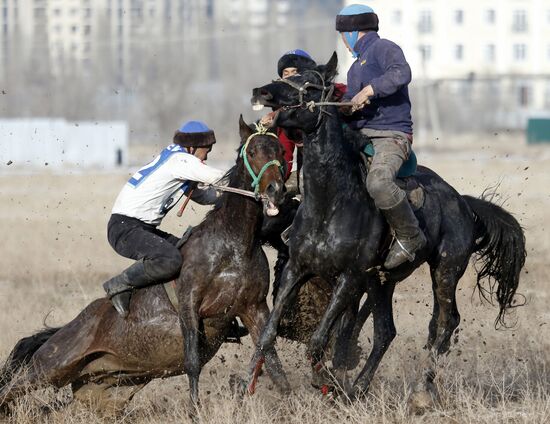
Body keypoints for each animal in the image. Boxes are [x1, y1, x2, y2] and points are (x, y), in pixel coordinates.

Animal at [0, 116, 292, 414]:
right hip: (50, 366)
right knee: (10, 389)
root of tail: (64, 329)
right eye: (253, 151)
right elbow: (192, 362)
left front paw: (293, 404)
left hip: (100, 392)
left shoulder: (254, 307)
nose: (276, 190)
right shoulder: (189, 303)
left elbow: (272, 361)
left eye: (281, 151)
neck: (232, 245)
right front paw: (195, 411)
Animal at [247, 53, 528, 404]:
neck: (331, 204)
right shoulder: (297, 269)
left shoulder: (350, 277)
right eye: (287, 76)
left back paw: (420, 391)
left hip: (445, 270)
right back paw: (360, 387)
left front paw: (326, 379)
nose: (261, 92)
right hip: (382, 281)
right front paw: (251, 381)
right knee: (386, 332)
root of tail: (462, 202)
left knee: (444, 323)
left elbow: (319, 340)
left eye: (310, 84)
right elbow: (270, 333)